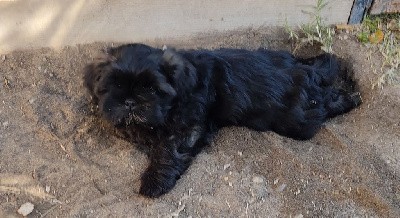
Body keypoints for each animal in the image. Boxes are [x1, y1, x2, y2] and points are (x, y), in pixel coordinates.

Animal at [83, 43, 360, 198]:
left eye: (150, 88)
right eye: (115, 85)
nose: (130, 101)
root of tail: (308, 71)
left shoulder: (189, 126)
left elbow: (167, 150)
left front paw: (154, 180)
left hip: (298, 119)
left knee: (324, 105)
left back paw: (350, 97)